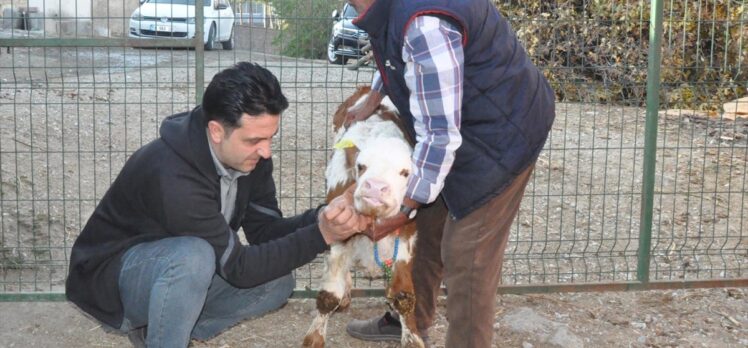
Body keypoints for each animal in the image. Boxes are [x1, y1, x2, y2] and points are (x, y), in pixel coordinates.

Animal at [300, 87, 424, 348]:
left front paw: (412, 339)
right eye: (361, 166)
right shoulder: (339, 230)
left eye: (405, 172)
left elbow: (403, 295)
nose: (375, 187)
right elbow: (329, 295)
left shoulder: (406, 233)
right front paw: (314, 338)